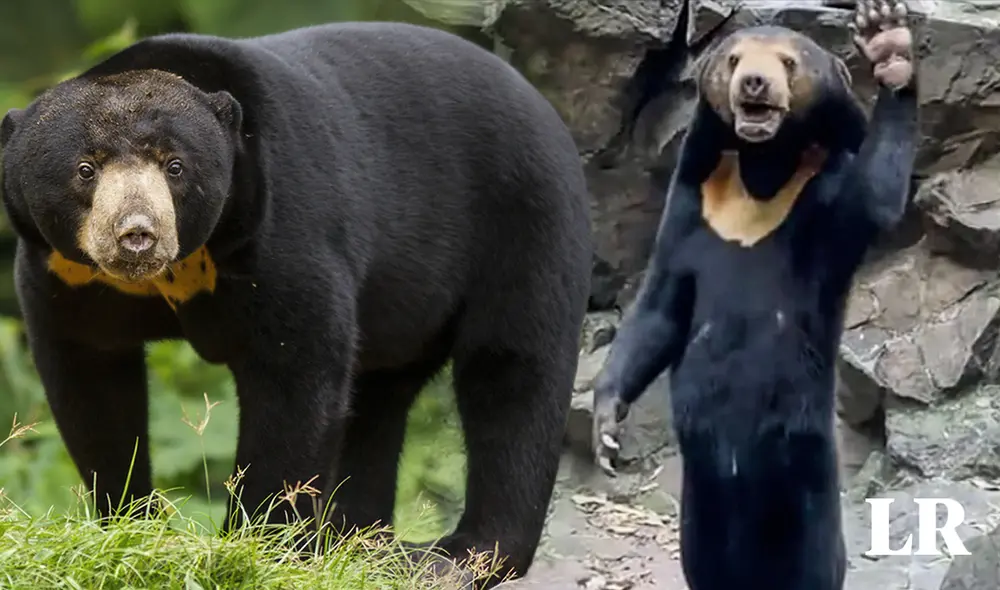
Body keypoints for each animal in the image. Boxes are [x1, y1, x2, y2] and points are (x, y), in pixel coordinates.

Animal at [0, 21, 593, 588]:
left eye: (174, 166)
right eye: (86, 168)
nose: (138, 235)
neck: (181, 267)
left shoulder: (283, 227)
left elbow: (295, 377)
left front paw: (254, 549)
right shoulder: (65, 275)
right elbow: (92, 383)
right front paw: (131, 526)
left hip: (524, 219)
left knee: (512, 373)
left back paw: (458, 557)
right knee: (379, 398)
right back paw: (357, 540)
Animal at [590, 1, 917, 589]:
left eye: (788, 61)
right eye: (734, 59)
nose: (755, 84)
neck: (760, 171)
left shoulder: (825, 196)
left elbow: (876, 198)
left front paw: (888, 44)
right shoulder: (693, 203)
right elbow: (661, 307)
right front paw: (605, 432)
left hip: (805, 469)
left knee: (813, 560)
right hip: (699, 495)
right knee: (705, 558)